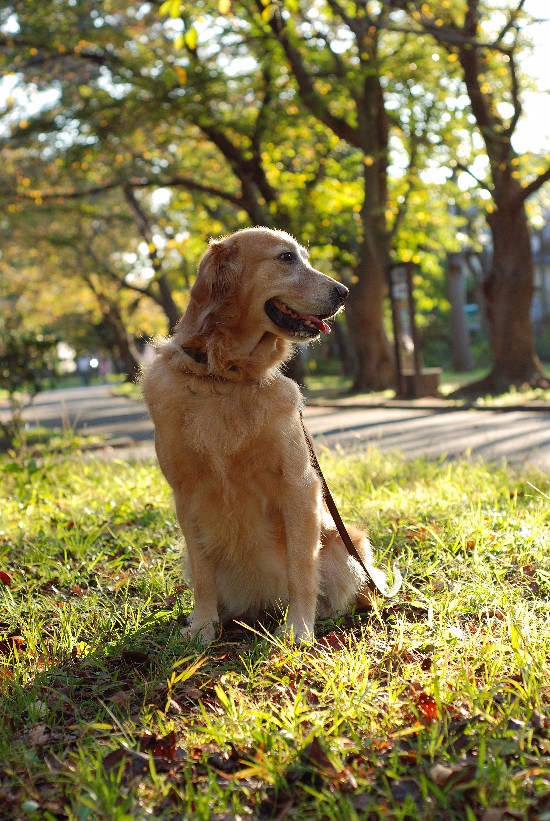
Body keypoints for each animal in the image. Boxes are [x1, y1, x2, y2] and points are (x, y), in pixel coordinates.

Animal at [141, 227, 402, 644]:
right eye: (286, 258)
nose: (344, 292)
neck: (226, 377)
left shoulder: (298, 485)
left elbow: (301, 569)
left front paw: (298, 627)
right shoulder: (186, 494)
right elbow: (203, 573)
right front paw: (202, 626)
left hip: (345, 544)